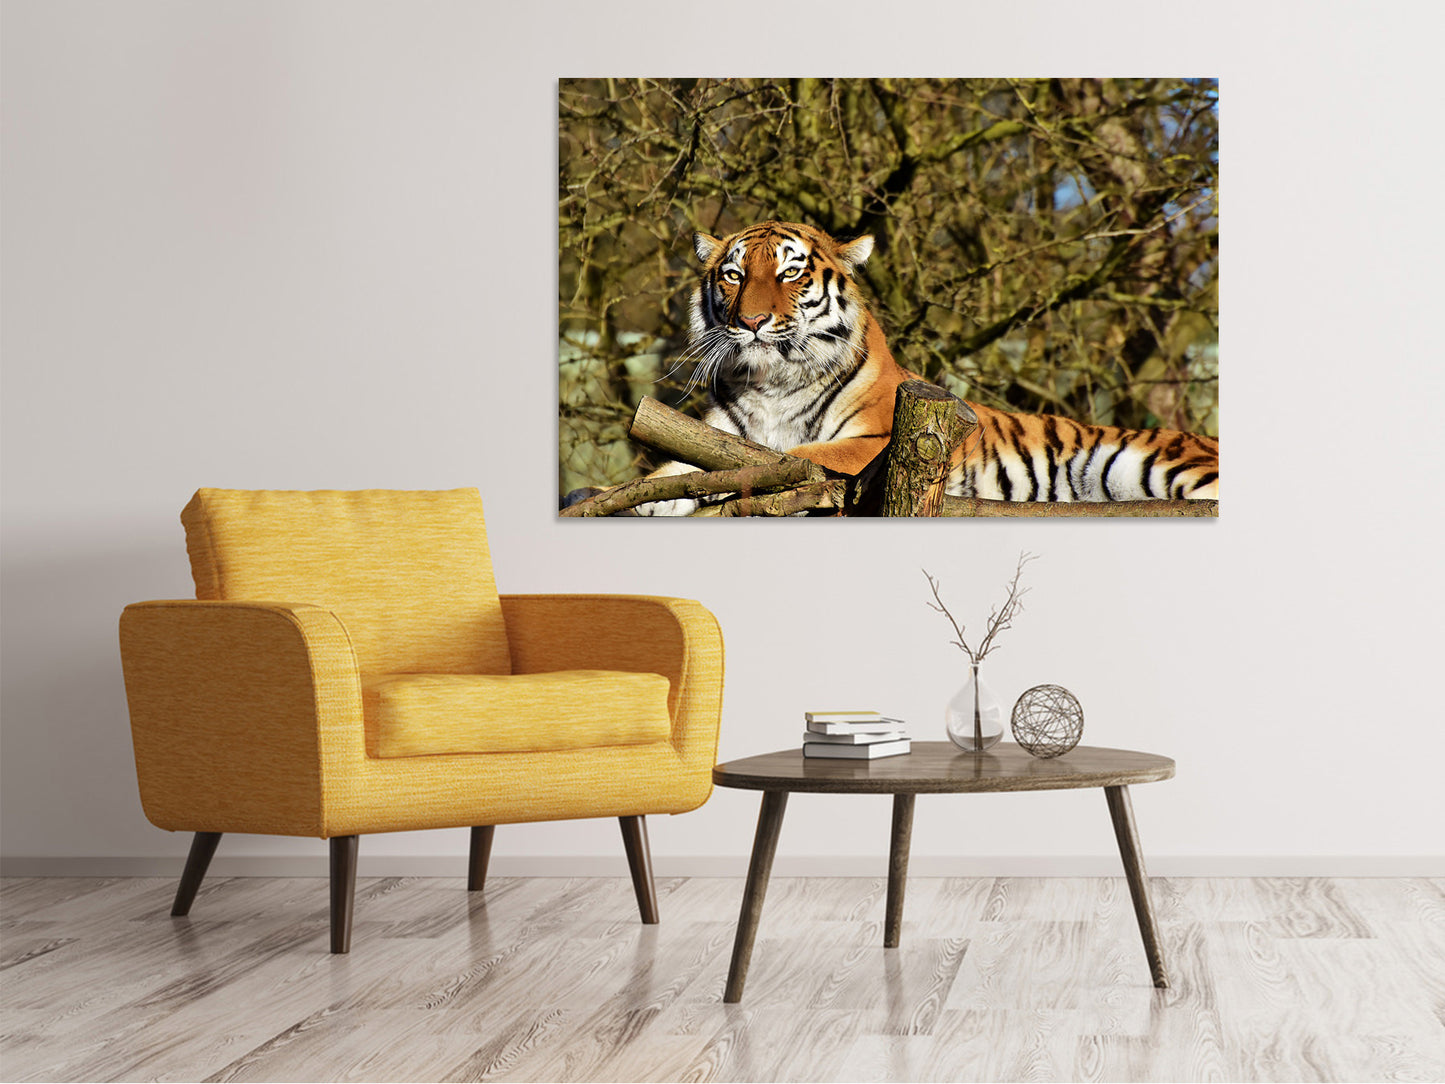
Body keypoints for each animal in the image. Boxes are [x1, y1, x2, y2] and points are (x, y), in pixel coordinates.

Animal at [634, 219, 1218, 514]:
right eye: (733, 275)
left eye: (790, 273)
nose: (752, 321)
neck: (771, 383)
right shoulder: (709, 431)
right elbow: (669, 469)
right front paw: (644, 497)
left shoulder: (871, 444)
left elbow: (792, 457)